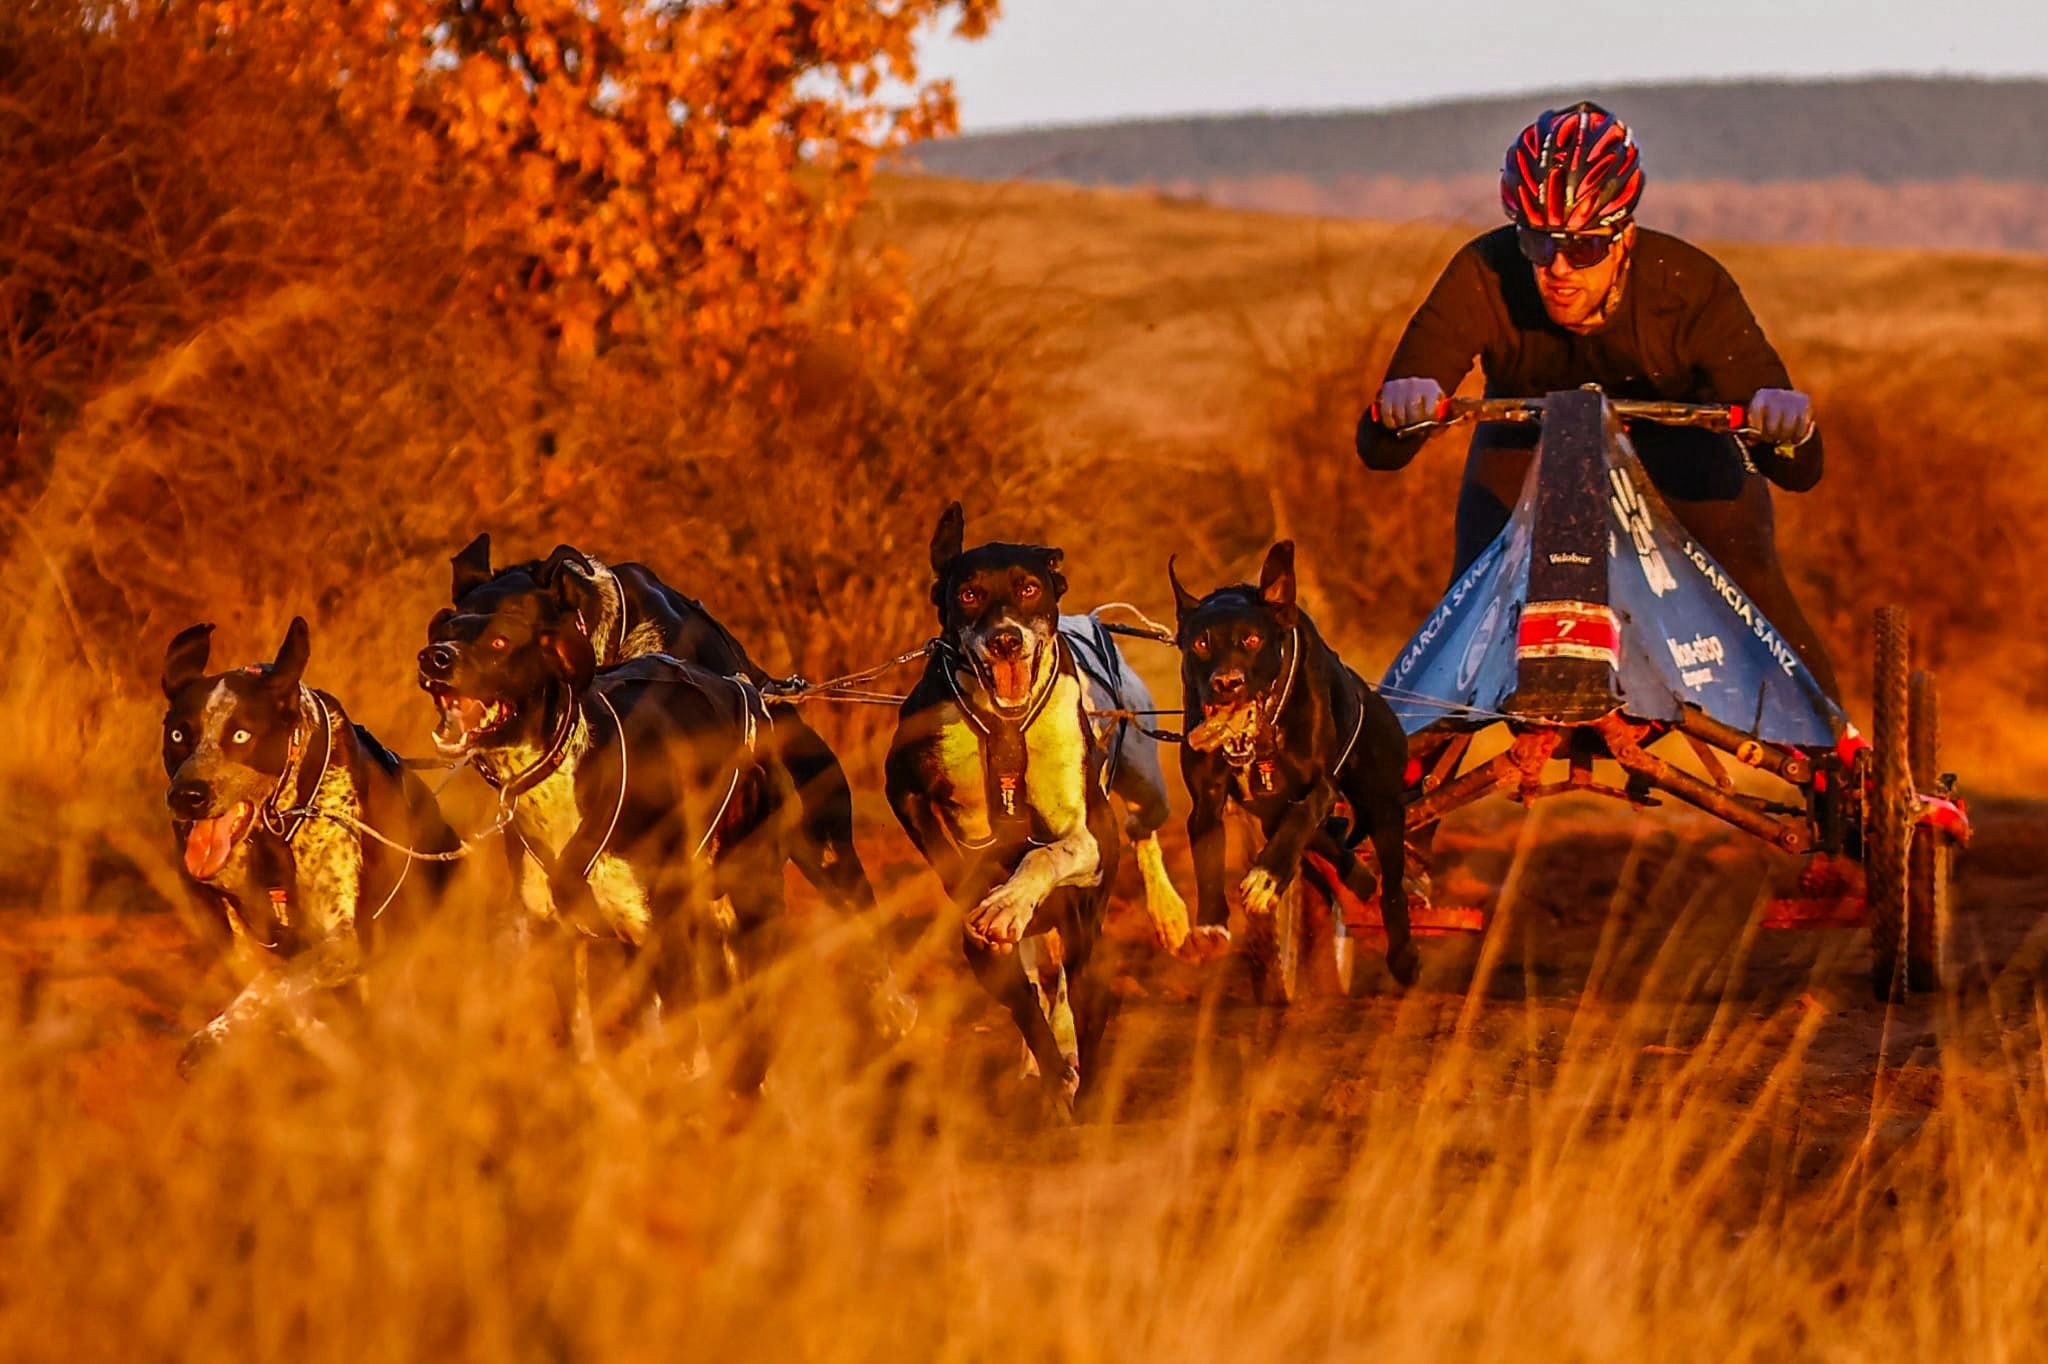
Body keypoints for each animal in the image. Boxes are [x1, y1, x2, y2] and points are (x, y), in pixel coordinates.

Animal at [163, 614, 460, 1073]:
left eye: (242, 735)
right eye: (178, 735)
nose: (187, 795)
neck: (273, 832)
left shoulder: (346, 943)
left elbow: (279, 980)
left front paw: (214, 1036)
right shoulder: (230, 930)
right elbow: (273, 986)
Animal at [419, 569, 794, 1081]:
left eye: (500, 640)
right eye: (443, 632)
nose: (435, 658)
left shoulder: (661, 939)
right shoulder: (560, 939)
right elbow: (583, 1045)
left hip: (749, 906)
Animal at [888, 503, 1130, 1114]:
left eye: (1029, 588)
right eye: (969, 594)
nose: (1004, 640)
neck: (1003, 723)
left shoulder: (1086, 837)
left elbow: (1049, 852)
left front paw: (1007, 902)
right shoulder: (902, 783)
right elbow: (947, 856)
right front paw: (979, 889)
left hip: (1086, 940)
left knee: (1081, 1002)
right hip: (997, 968)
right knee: (1028, 1008)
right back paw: (1052, 1077)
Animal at [1179, 536, 1417, 983]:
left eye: (1252, 641)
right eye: (1201, 643)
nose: (1226, 682)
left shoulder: (1322, 784)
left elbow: (1303, 815)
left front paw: (1266, 880)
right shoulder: (1207, 800)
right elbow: (1208, 857)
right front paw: (1211, 923)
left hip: (1384, 807)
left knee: (1392, 887)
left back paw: (1402, 955)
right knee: (1327, 841)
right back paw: (1357, 877)